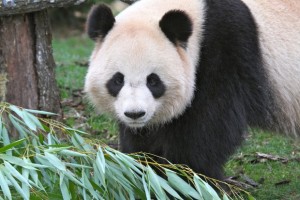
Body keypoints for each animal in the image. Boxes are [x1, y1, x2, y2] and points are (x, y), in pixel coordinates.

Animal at [84, 0, 300, 180]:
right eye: (117, 80)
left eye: (153, 81)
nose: (135, 114)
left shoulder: (225, 55)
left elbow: (207, 128)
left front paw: (187, 176)